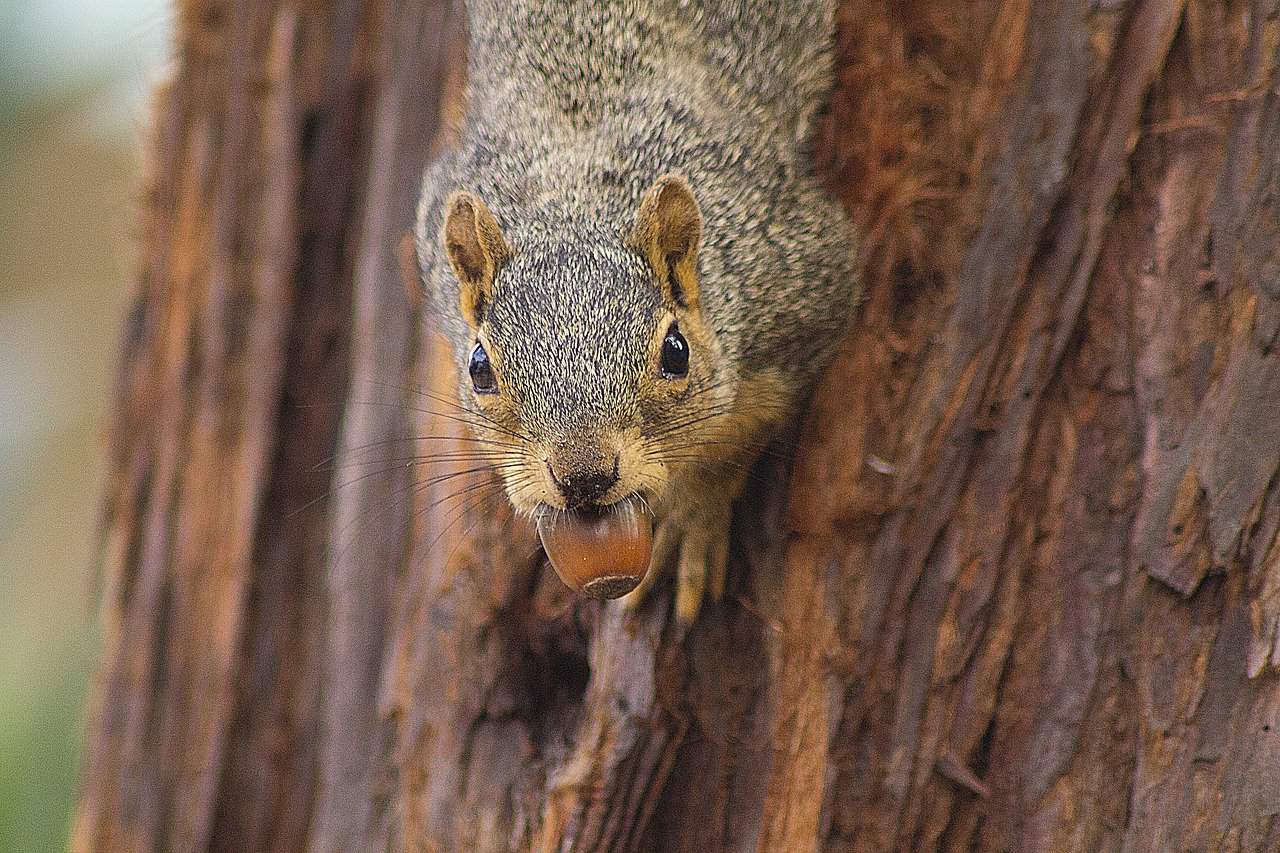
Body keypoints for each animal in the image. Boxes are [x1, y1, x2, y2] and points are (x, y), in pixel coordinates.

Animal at [417, 0, 860, 622]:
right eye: (479, 368)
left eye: (677, 353)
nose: (584, 477)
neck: (576, 199)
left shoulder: (803, 276)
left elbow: (741, 439)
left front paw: (691, 517)